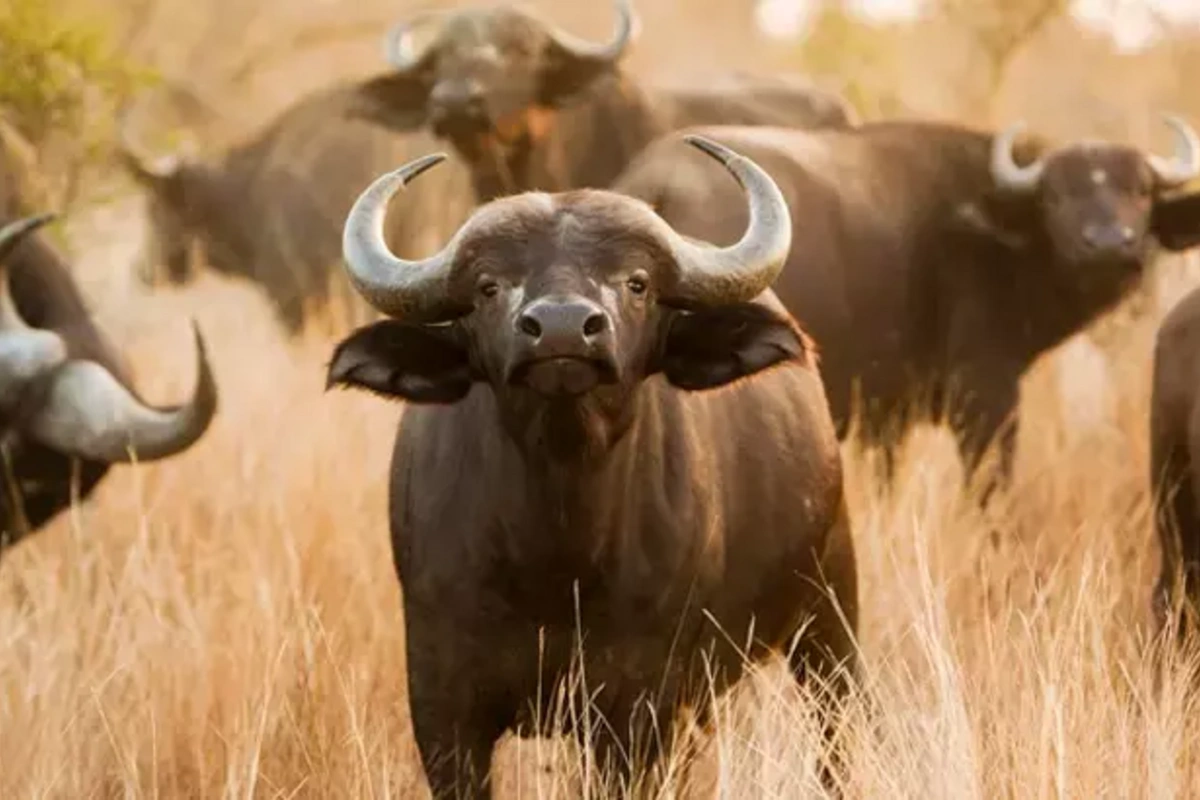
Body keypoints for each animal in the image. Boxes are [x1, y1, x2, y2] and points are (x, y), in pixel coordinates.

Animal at [324, 137, 859, 796]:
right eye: (488, 286)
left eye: (637, 282)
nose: (561, 330)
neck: (555, 551)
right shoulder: (442, 702)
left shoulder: (640, 704)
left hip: (830, 613)